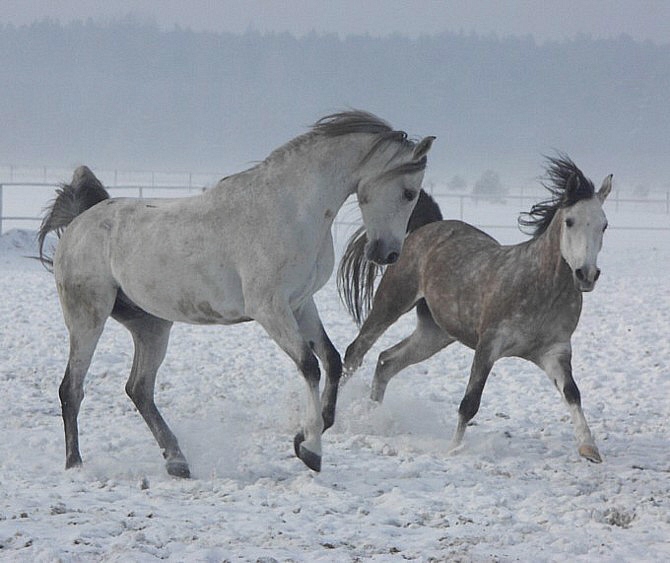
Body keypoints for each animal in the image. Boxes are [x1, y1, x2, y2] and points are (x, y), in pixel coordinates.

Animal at [38, 111, 436, 476]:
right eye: (408, 193)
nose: (389, 255)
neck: (292, 210)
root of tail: (79, 223)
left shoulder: (300, 304)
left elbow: (332, 361)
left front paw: (311, 432)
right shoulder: (270, 309)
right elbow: (309, 366)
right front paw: (310, 450)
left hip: (152, 325)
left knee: (139, 389)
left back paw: (177, 461)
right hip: (88, 317)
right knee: (72, 388)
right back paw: (75, 464)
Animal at [344, 155, 612, 462]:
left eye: (604, 225)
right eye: (570, 221)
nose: (586, 274)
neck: (538, 286)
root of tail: (428, 226)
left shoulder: (554, 352)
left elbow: (572, 393)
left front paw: (589, 447)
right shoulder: (488, 345)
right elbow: (469, 402)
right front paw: (453, 449)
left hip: (434, 333)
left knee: (387, 361)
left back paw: (372, 415)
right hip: (391, 302)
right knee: (355, 352)